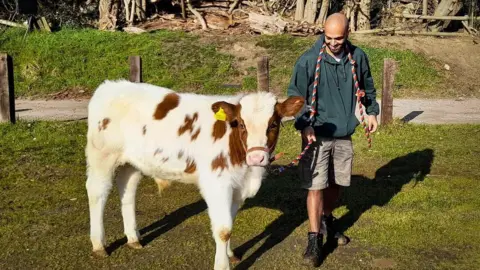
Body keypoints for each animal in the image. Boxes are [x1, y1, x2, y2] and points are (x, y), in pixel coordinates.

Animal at [85, 79, 304, 268]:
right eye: (241, 124)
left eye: (273, 124)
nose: (257, 157)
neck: (247, 170)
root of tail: (111, 85)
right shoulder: (217, 184)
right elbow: (223, 229)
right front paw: (222, 265)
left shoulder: (238, 188)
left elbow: (230, 221)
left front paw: (230, 254)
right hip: (102, 157)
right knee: (97, 192)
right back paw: (99, 244)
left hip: (131, 163)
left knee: (127, 191)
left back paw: (133, 238)